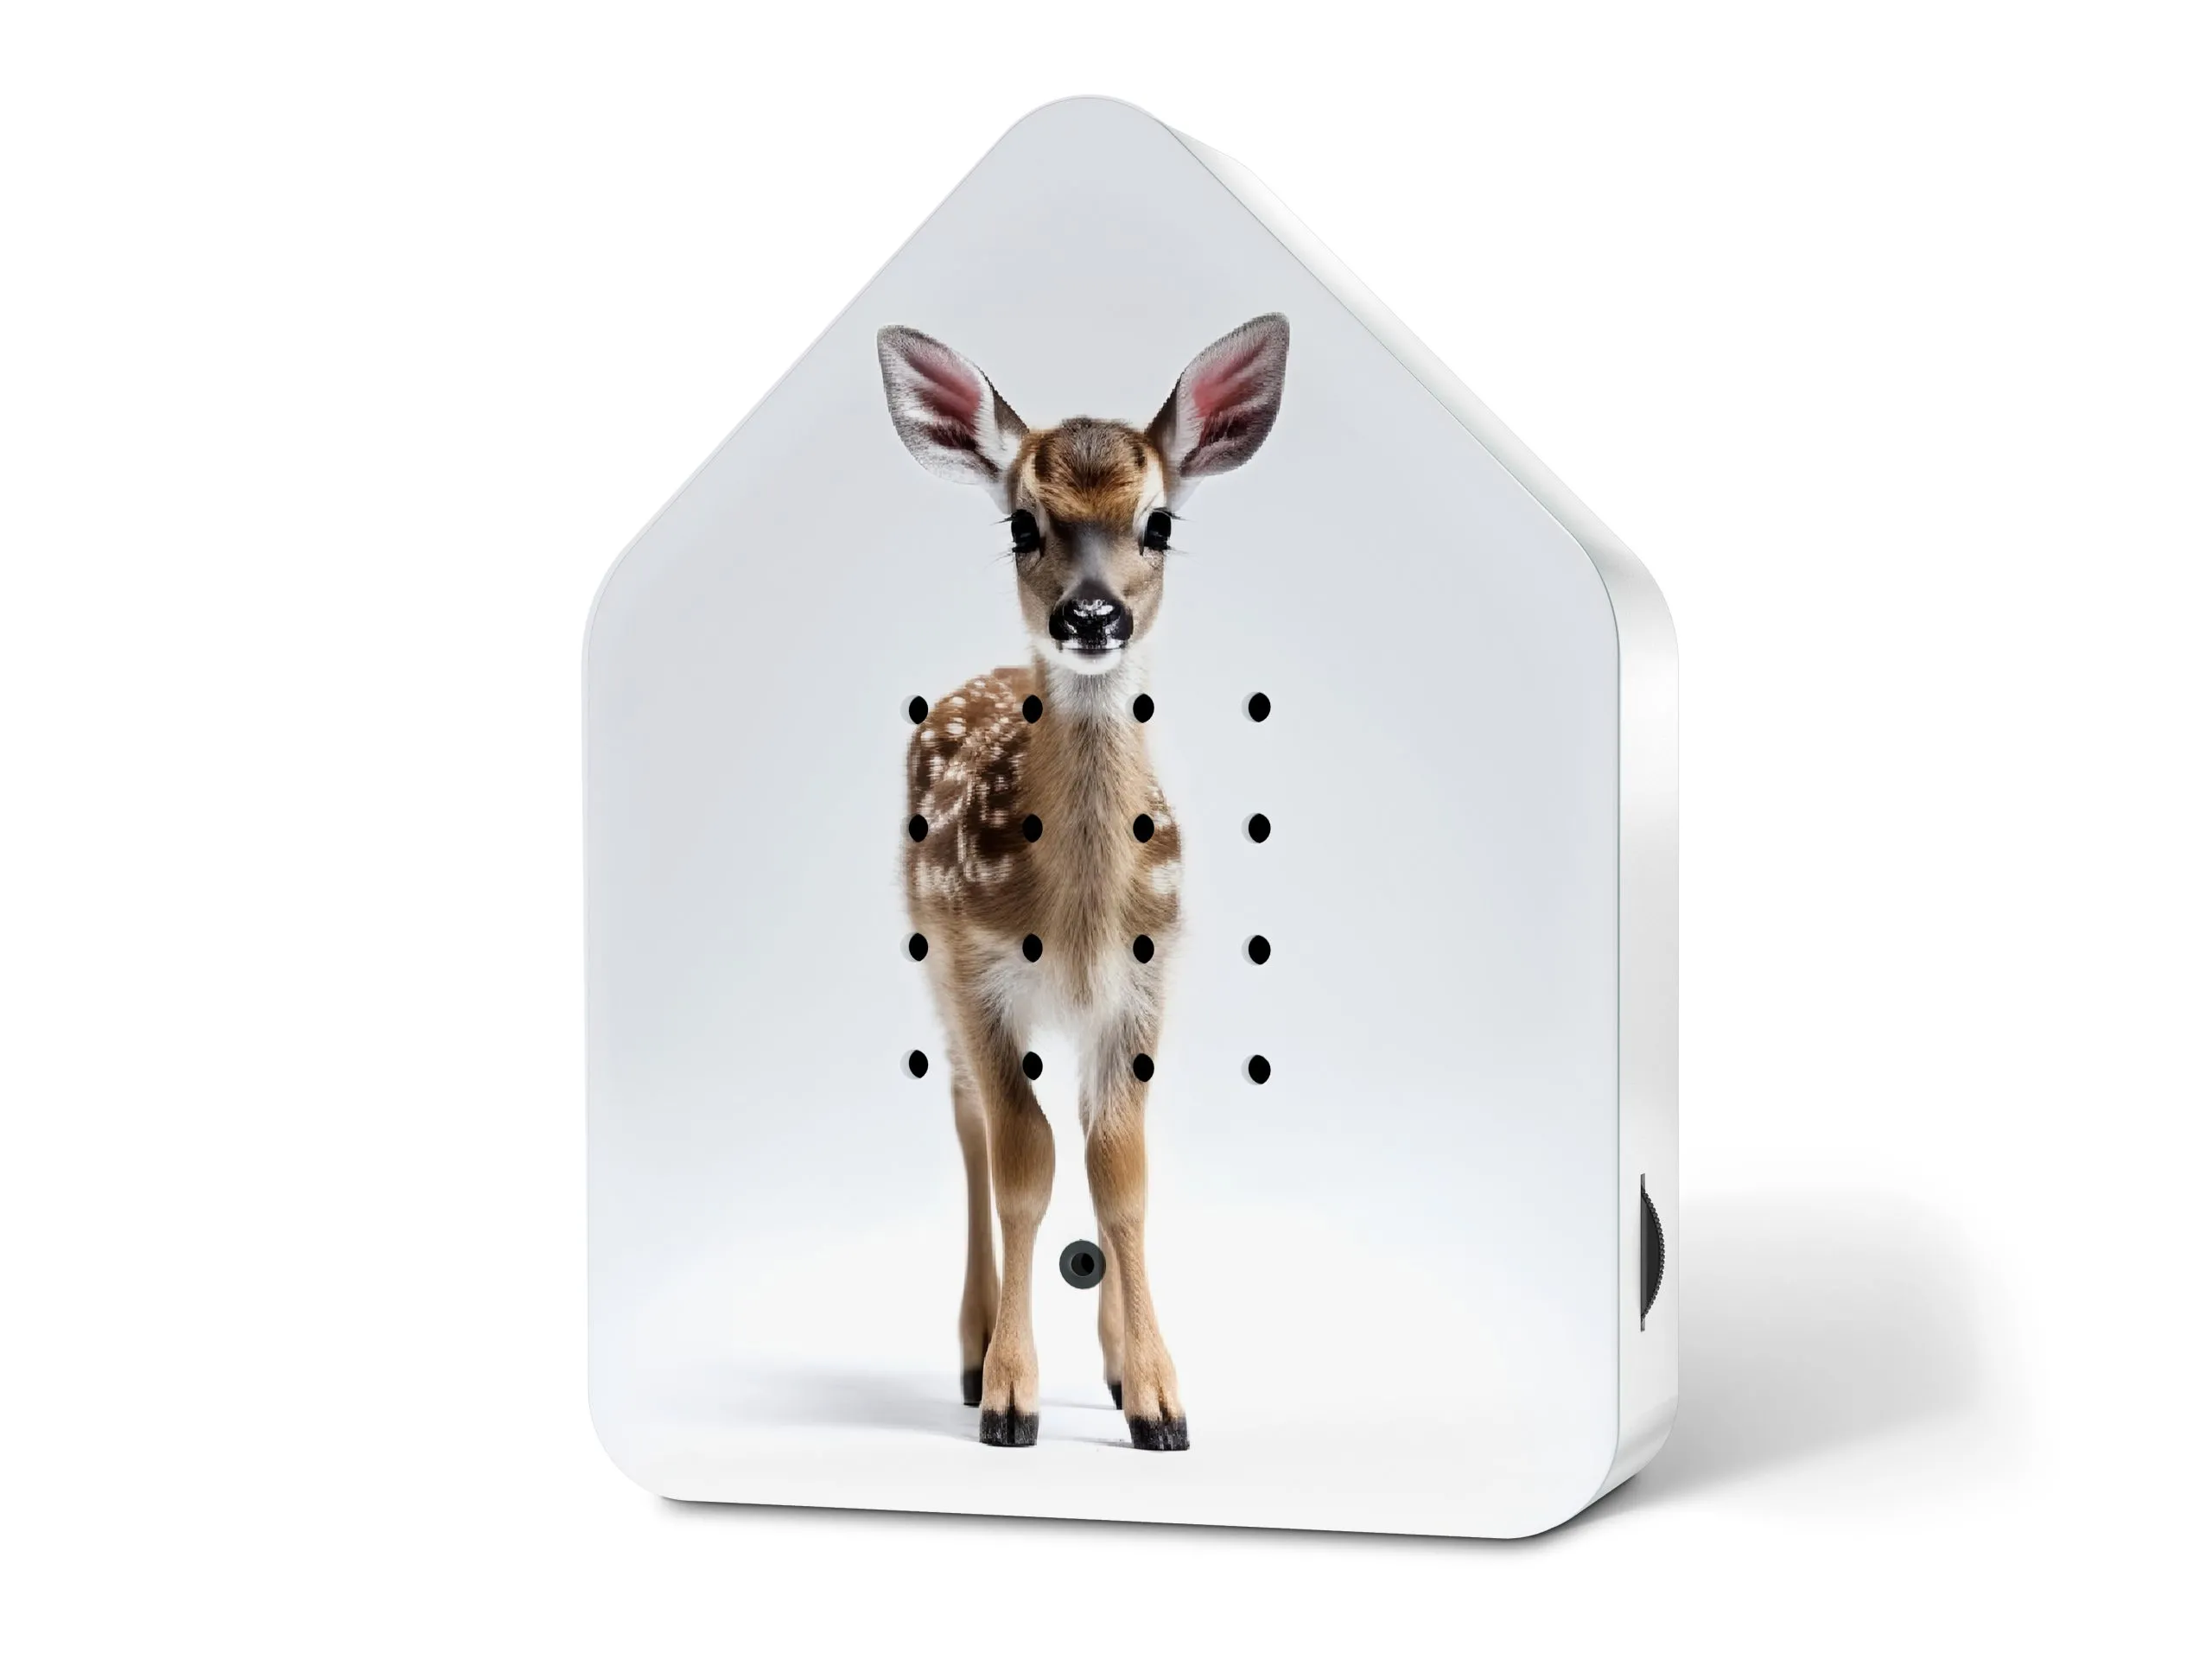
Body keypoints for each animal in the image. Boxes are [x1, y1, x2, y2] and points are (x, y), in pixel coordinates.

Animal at [877, 314, 1289, 1450]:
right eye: (1024, 525)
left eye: (1158, 523)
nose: (1092, 615)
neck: (1076, 920)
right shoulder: (976, 970)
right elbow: (1024, 1166)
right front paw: (1010, 1397)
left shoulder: (1142, 988)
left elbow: (1118, 1174)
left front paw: (1154, 1397)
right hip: (935, 968)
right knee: (973, 1123)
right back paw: (974, 1351)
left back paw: (1102, 1361)